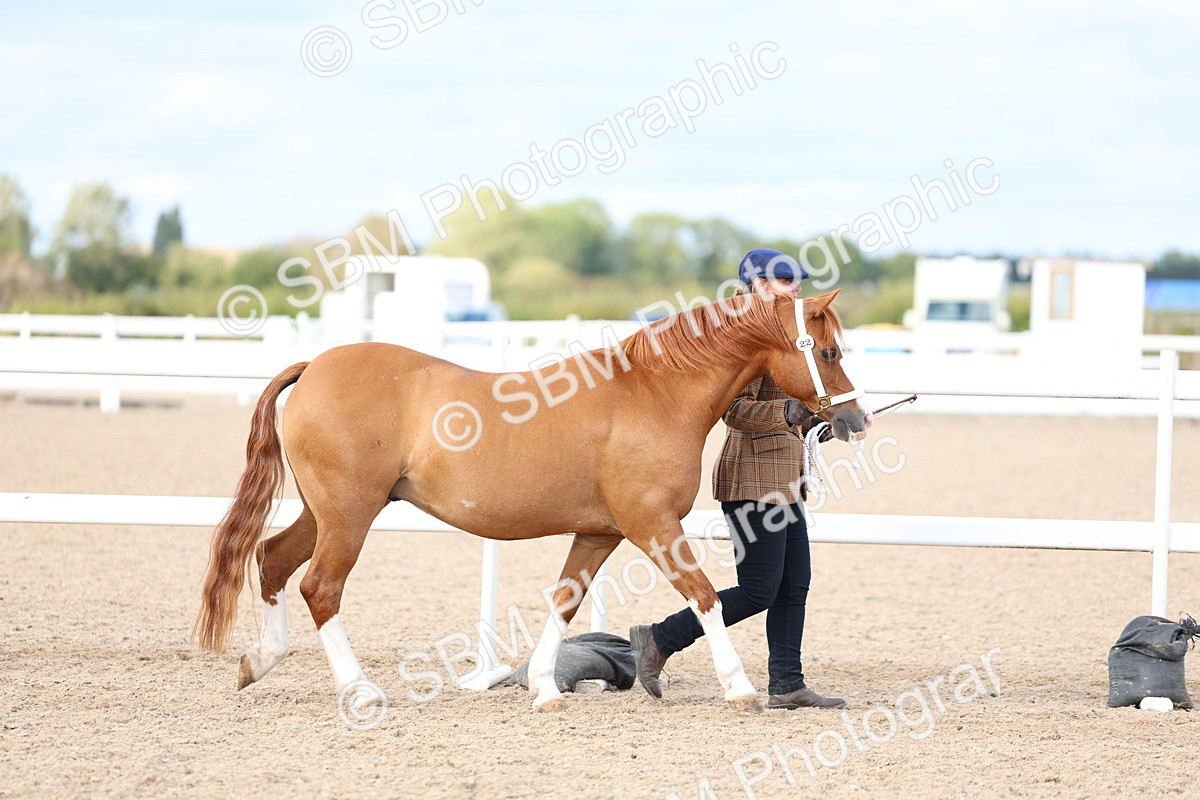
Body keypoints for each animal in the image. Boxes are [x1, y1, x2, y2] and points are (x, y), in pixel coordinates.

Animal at [194, 287, 871, 713]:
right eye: (830, 352)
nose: (855, 419)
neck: (655, 393)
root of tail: (314, 366)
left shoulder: (600, 531)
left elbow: (565, 601)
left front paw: (544, 687)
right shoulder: (651, 523)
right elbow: (704, 595)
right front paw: (739, 687)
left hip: (326, 512)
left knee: (273, 560)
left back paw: (259, 662)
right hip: (349, 515)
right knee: (321, 588)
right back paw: (359, 690)